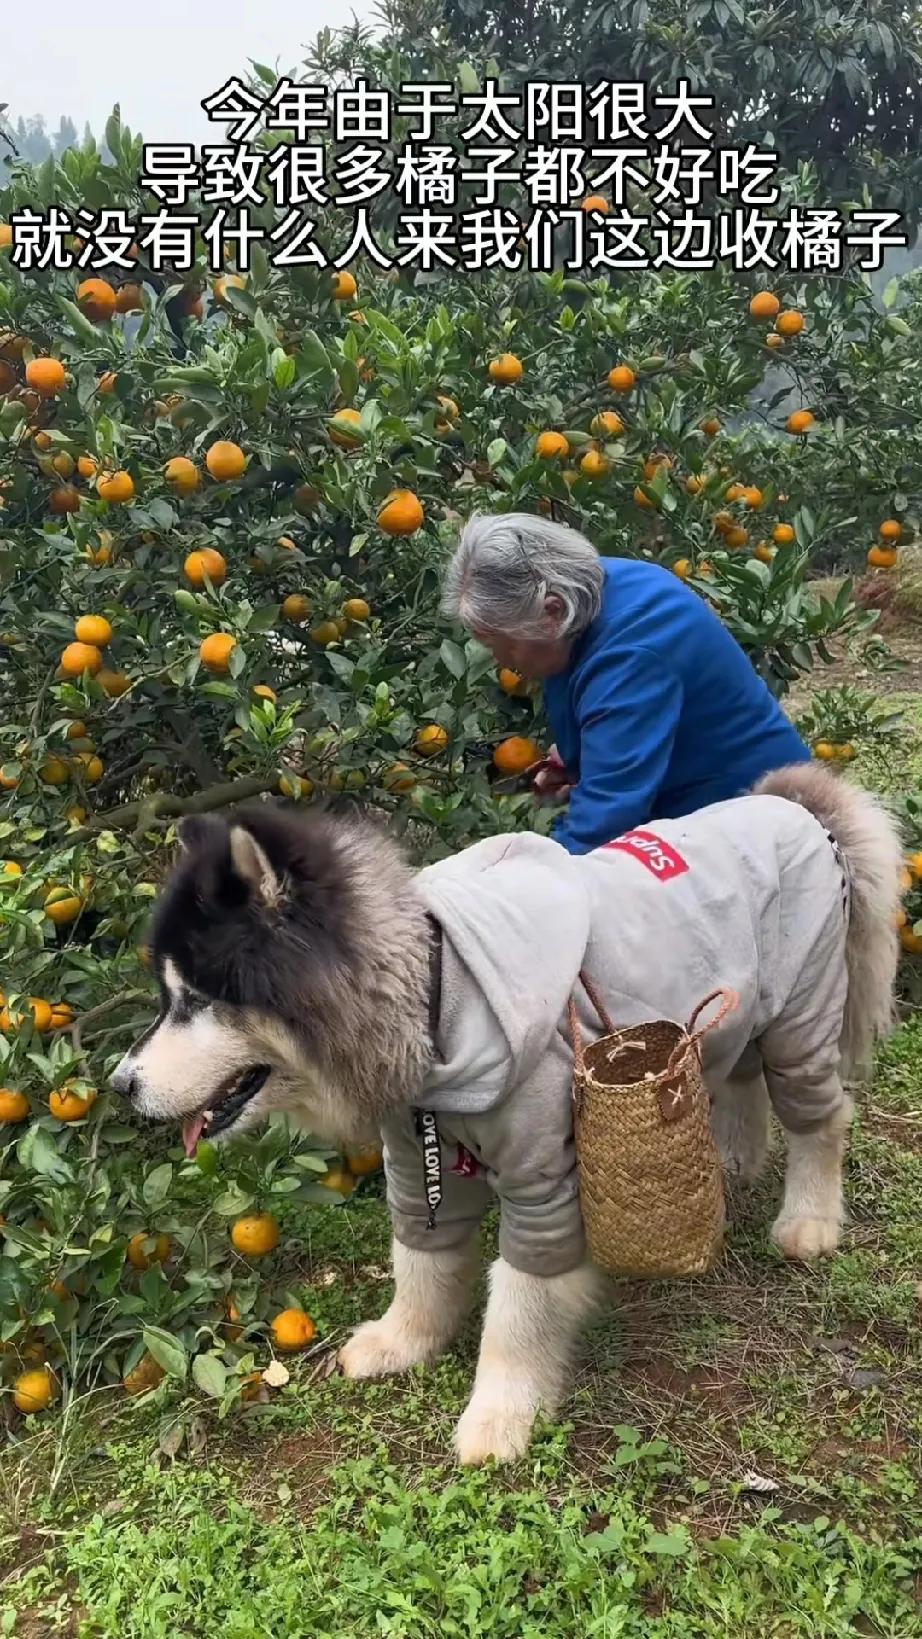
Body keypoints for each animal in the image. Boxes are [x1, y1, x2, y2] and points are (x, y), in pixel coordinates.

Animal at [113, 760, 903, 1468]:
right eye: (167, 998)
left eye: (196, 999)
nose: (119, 1084)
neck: (433, 1003)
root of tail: (796, 806)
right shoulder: (417, 1160)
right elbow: (421, 1265)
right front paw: (404, 1342)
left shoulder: (545, 1182)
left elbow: (518, 1310)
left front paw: (499, 1415)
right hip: (740, 1016)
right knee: (741, 1080)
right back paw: (733, 1159)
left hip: (801, 1020)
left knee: (822, 1117)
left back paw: (808, 1219)